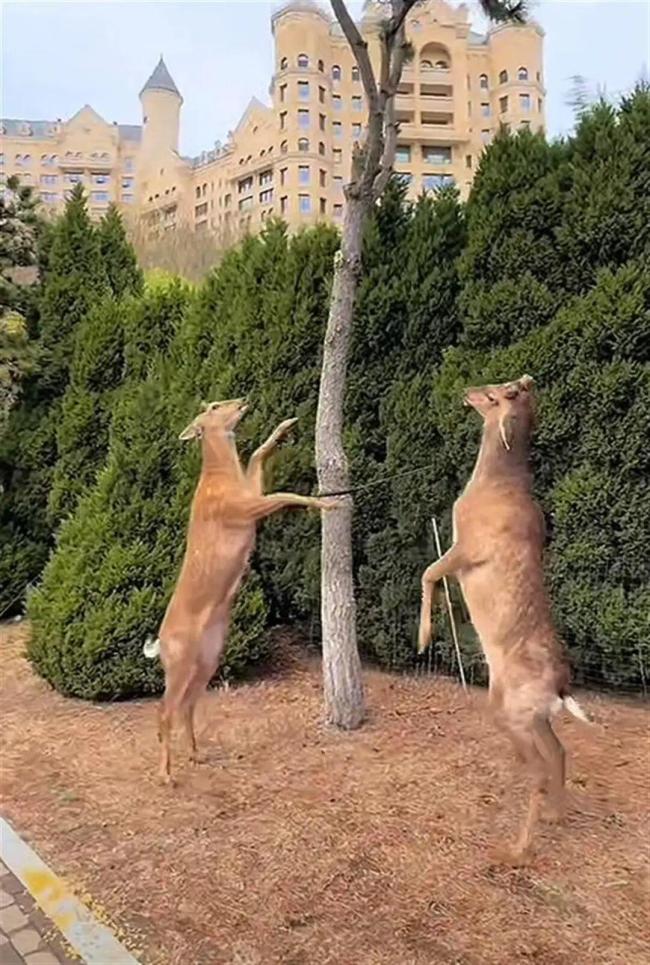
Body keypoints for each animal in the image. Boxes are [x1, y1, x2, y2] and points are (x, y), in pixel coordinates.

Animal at [144, 398, 338, 784]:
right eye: (215, 406)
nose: (242, 400)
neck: (223, 477)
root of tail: (160, 643)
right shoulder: (244, 508)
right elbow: (285, 494)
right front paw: (329, 503)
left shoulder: (251, 494)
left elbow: (259, 454)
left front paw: (285, 425)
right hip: (179, 662)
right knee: (164, 710)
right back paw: (167, 774)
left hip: (208, 658)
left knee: (188, 705)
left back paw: (196, 754)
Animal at [418, 375, 589, 864]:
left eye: (495, 391)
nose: (466, 391)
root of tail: (559, 688)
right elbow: (432, 574)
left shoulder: (470, 547)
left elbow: (428, 572)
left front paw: (423, 638)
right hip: (533, 714)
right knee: (559, 752)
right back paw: (555, 816)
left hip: (512, 711)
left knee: (538, 768)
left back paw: (515, 850)